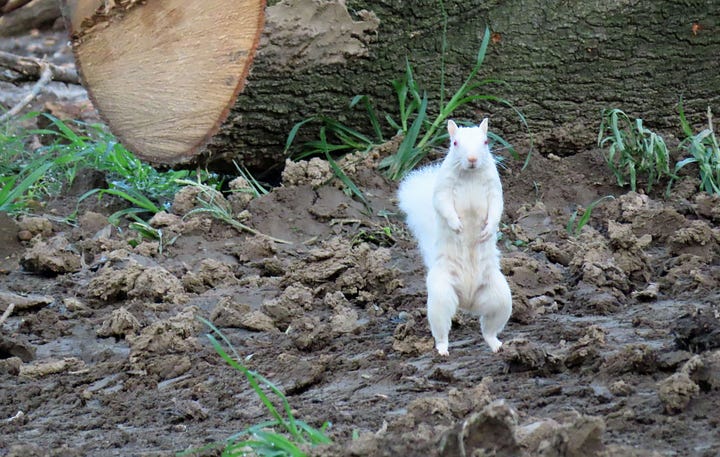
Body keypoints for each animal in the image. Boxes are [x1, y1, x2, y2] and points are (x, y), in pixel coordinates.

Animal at [400, 119, 512, 354]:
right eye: (454, 143)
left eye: (486, 141)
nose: (472, 159)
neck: (470, 174)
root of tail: (467, 301)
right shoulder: (443, 188)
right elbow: (443, 205)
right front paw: (457, 225)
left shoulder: (495, 189)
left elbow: (497, 208)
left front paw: (488, 230)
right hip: (441, 296)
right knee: (442, 330)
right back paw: (443, 349)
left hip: (501, 299)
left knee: (488, 329)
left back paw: (496, 345)